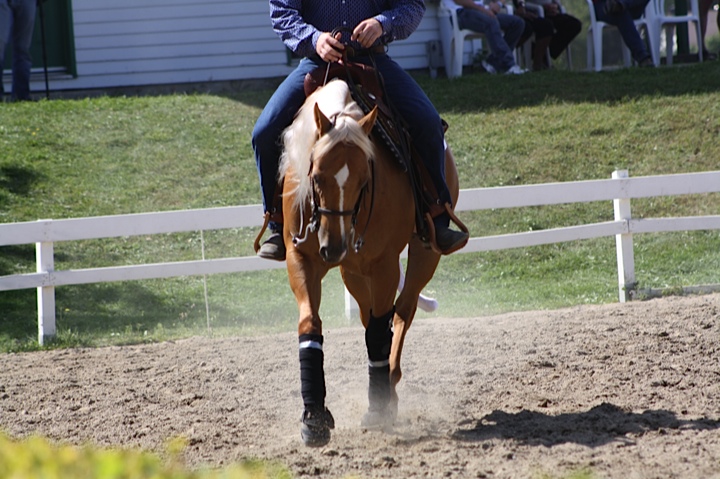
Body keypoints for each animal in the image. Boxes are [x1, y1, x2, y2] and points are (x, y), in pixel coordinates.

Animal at [278, 78, 461, 447]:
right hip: (354, 273)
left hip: (424, 254)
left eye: (365, 179)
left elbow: (379, 332)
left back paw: (389, 383)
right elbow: (310, 324)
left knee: (402, 312)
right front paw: (314, 417)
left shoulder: (384, 264)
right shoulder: (301, 258)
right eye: (315, 176)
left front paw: (378, 407)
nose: (334, 246)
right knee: (370, 315)